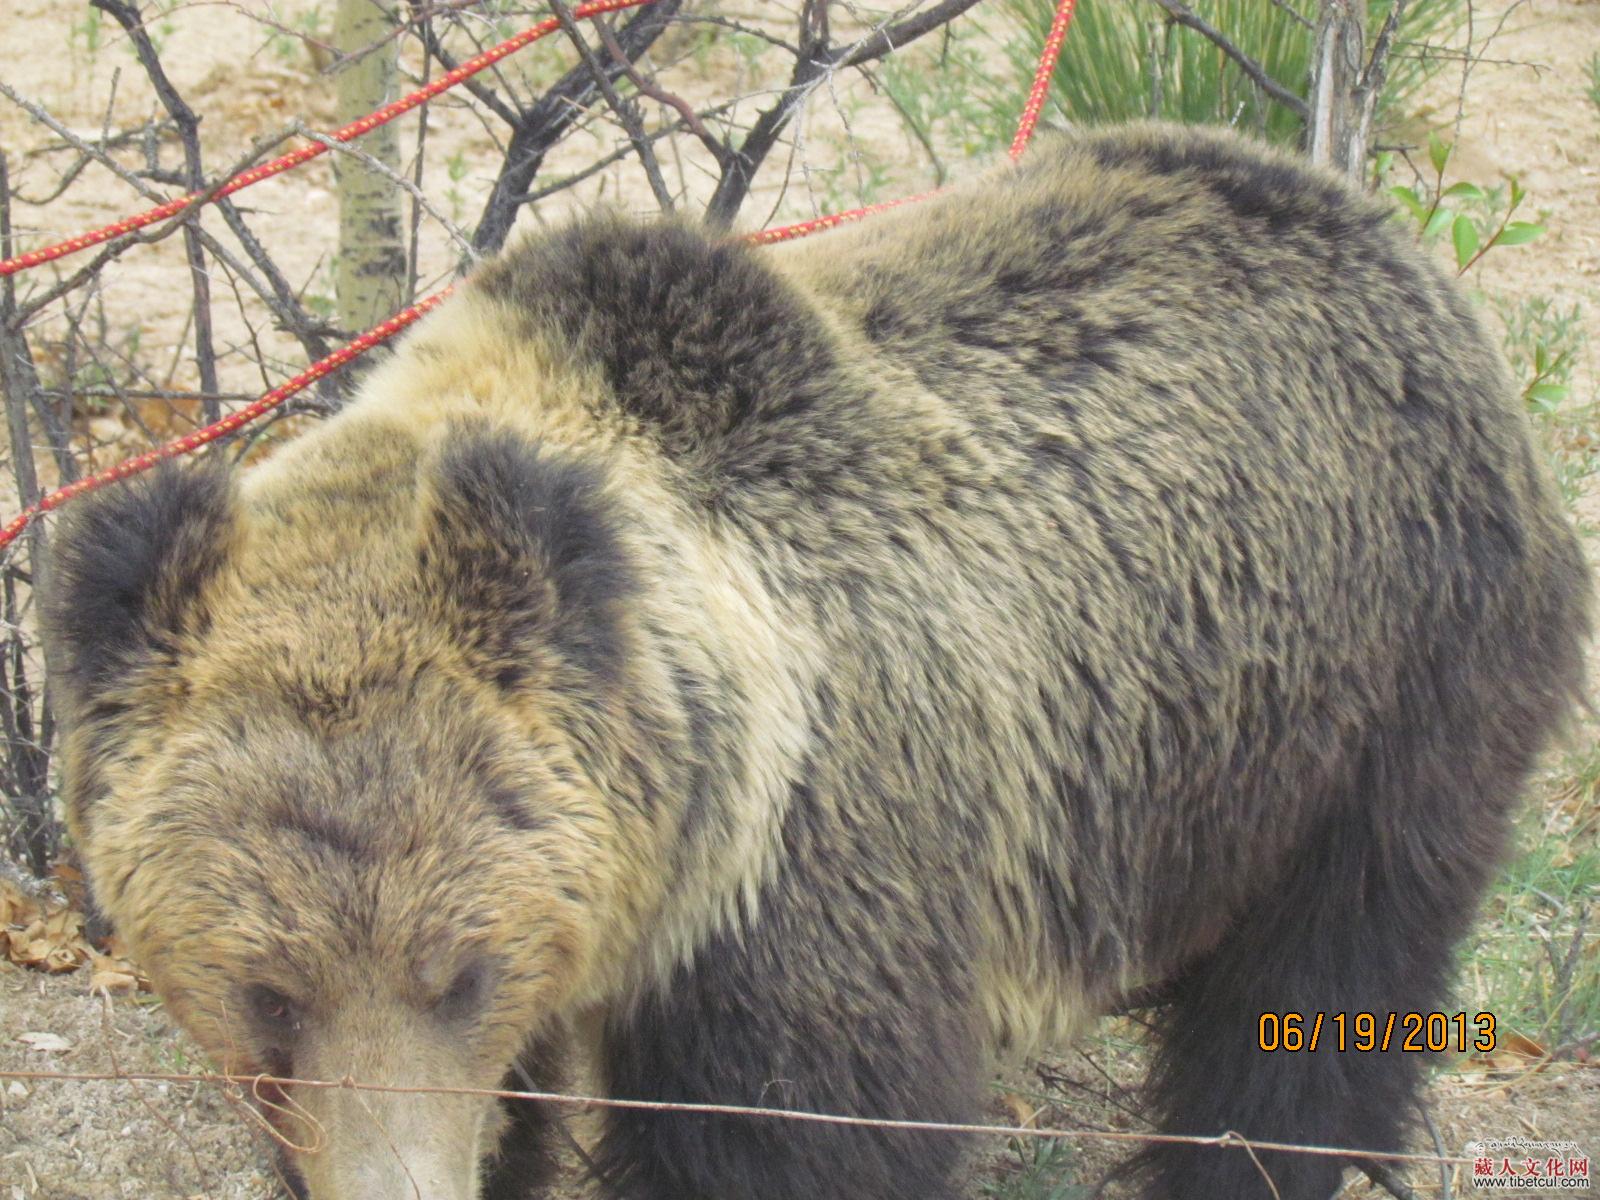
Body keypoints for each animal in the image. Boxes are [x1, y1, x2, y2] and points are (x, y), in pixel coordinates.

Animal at [37, 124, 1587, 1200]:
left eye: (458, 972)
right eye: (265, 990)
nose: (405, 1187)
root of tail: (1382, 237)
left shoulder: (809, 869)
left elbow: (801, 1129)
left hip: (1386, 675)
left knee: (1320, 974)